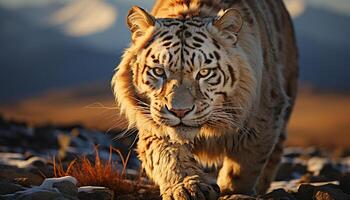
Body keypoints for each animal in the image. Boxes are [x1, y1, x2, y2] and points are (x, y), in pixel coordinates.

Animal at [111, 0, 298, 198]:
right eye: (159, 71)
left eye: (204, 72)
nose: (180, 111)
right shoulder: (154, 123)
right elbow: (168, 156)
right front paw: (187, 187)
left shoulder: (265, 115)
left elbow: (245, 166)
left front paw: (231, 190)